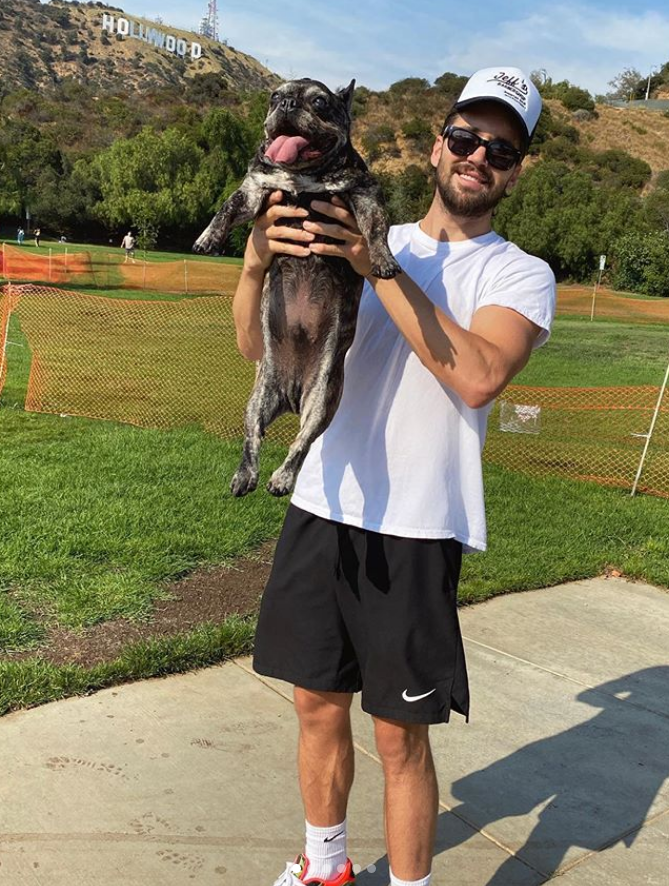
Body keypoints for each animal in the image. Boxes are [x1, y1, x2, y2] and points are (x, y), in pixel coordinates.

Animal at [193, 79, 402, 496]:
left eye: (320, 102)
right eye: (274, 96)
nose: (286, 103)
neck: (304, 175)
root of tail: (290, 396)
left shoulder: (365, 195)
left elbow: (375, 229)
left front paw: (383, 260)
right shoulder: (253, 191)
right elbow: (225, 208)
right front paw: (208, 239)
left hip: (322, 401)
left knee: (301, 443)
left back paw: (282, 478)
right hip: (257, 399)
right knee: (252, 437)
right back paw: (245, 476)